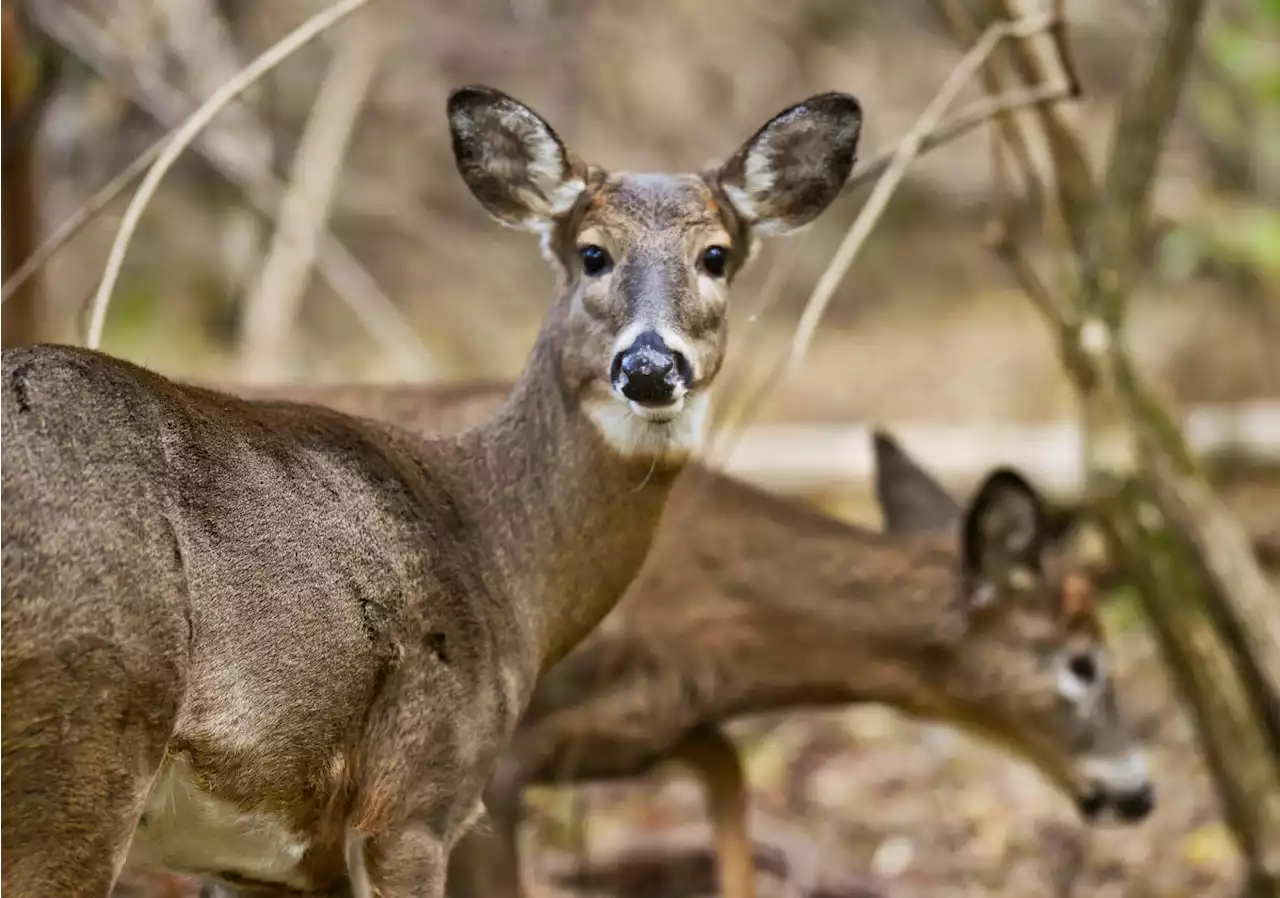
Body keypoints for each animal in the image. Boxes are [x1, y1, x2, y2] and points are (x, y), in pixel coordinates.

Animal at [0, 86, 865, 898]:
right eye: (592, 253)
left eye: (716, 255)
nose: (650, 366)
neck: (494, 547)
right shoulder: (418, 793)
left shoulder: (265, 864)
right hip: (85, 740)